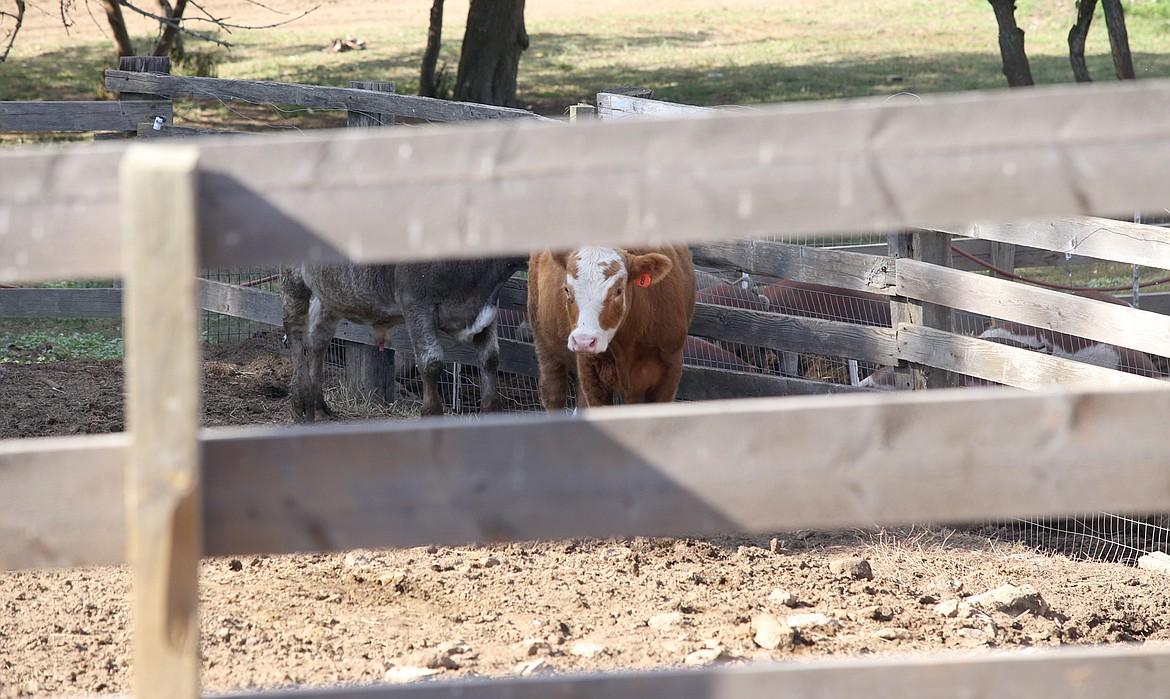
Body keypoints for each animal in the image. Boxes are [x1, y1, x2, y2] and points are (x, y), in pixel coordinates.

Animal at [280, 257, 524, 416]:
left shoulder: (487, 306)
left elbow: (490, 360)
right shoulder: (416, 302)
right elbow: (431, 365)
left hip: (331, 291)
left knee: (317, 340)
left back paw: (319, 406)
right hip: (293, 276)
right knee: (294, 331)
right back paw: (300, 402)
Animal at [531, 245, 692, 409]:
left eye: (618, 290)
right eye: (566, 289)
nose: (584, 342)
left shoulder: (670, 369)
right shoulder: (590, 373)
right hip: (544, 344)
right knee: (553, 394)